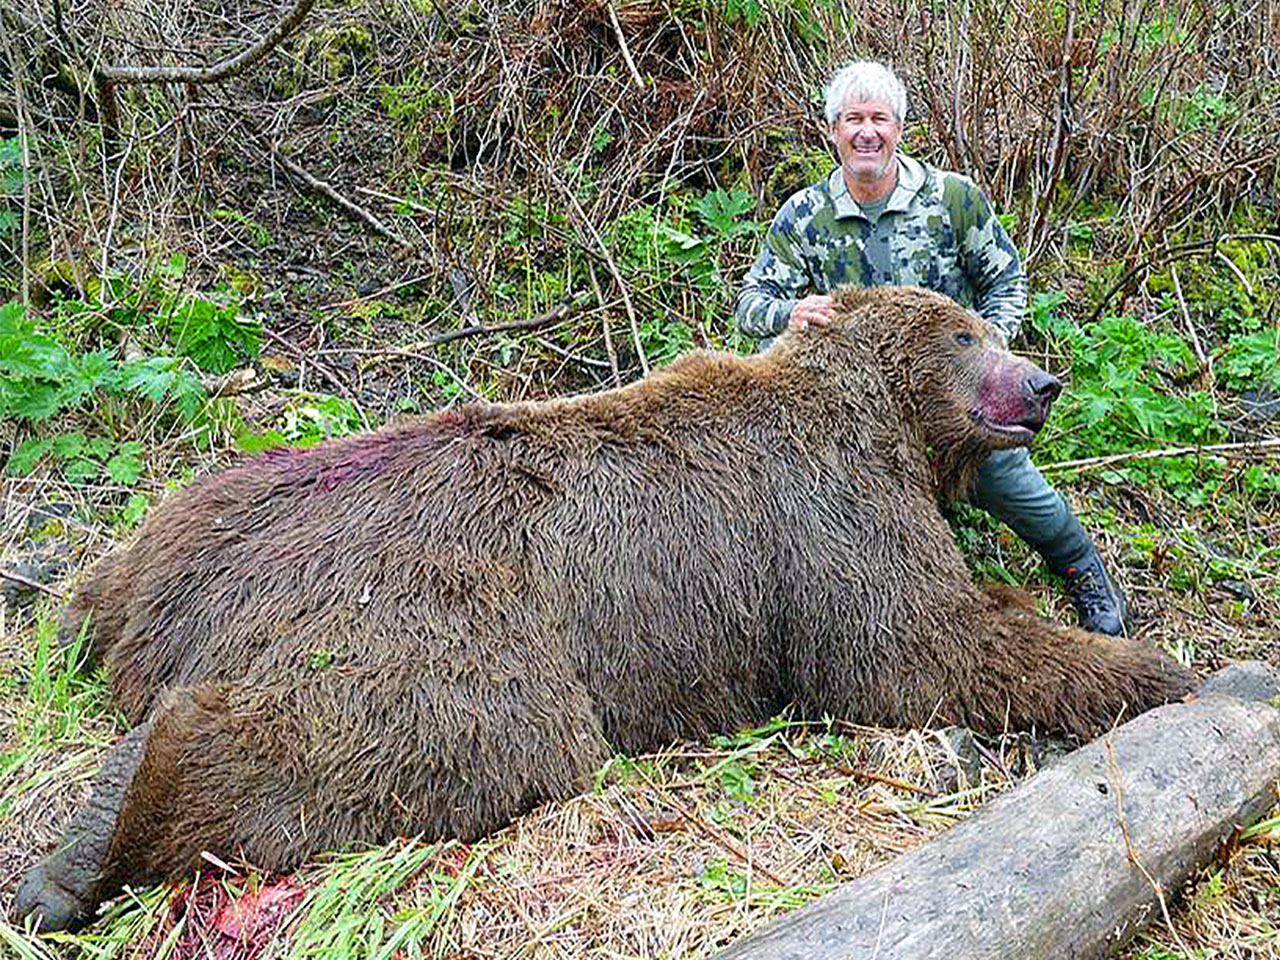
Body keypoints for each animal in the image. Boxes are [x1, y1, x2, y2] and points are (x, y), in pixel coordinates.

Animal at [12, 285, 1198, 931]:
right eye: (963, 337)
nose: (1041, 382)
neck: (882, 425)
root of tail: (175, 602)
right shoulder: (826, 520)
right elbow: (909, 644)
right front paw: (1153, 671)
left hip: (187, 524)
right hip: (437, 610)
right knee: (462, 734)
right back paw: (87, 849)